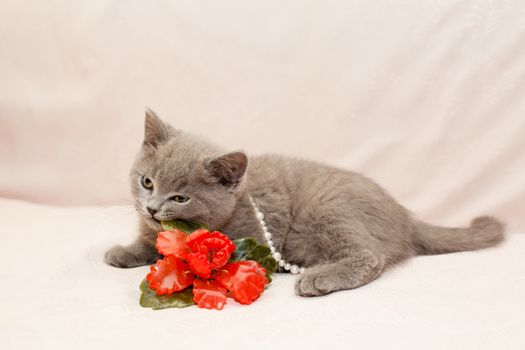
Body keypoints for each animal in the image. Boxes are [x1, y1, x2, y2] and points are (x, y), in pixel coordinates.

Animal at [105, 109, 504, 296]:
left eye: (180, 197)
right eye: (146, 182)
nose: (152, 208)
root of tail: (405, 216)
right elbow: (150, 243)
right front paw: (124, 252)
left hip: (328, 207)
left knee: (371, 257)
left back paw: (318, 278)